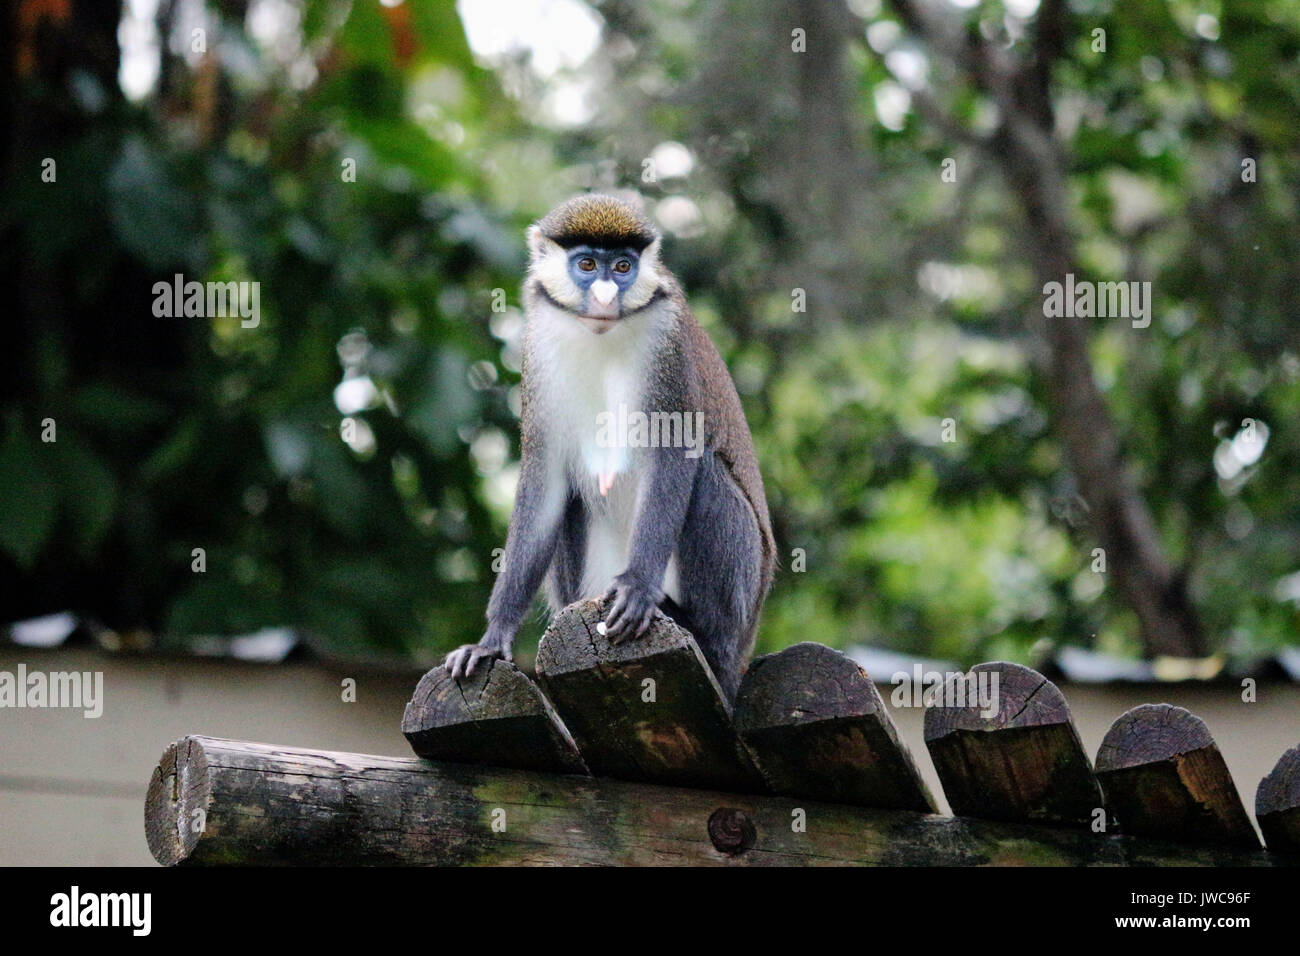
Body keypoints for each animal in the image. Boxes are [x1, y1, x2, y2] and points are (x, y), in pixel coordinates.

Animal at [443, 193, 774, 701]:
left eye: (622, 266)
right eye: (586, 264)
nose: (604, 295)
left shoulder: (667, 347)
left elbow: (676, 457)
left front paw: (637, 586)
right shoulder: (538, 350)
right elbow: (546, 485)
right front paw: (492, 640)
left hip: (740, 595)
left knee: (707, 472)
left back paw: (695, 628)